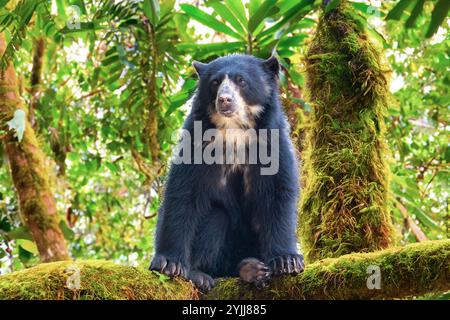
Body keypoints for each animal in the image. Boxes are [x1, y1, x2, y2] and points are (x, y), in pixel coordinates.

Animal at [150, 54, 302, 290]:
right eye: (215, 82)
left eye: (241, 81)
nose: (224, 100)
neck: (234, 129)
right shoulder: (197, 141)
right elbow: (182, 193)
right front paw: (168, 263)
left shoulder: (272, 142)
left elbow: (278, 193)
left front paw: (287, 261)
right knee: (216, 217)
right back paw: (202, 274)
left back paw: (253, 270)